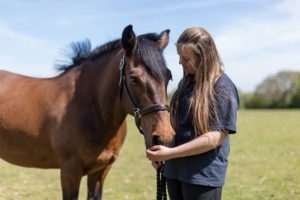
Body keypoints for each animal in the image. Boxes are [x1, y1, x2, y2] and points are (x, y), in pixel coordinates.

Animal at [0, 25, 173, 200]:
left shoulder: (101, 170)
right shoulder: (70, 171)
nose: (164, 137)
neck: (90, 108)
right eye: (134, 79)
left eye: (169, 77)